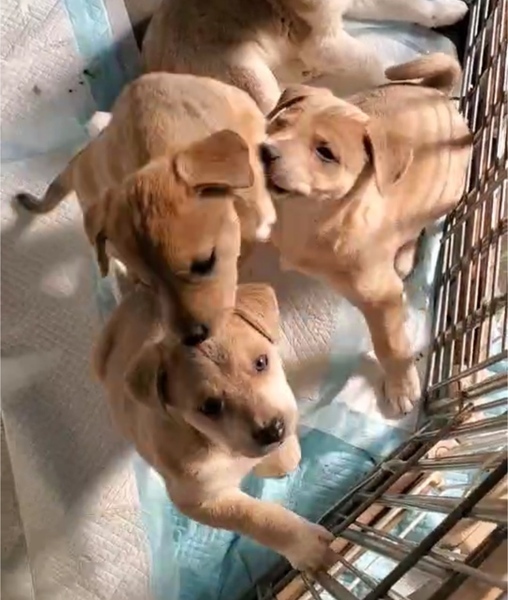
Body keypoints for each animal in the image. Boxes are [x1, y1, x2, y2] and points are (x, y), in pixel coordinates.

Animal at [93, 283, 336, 571]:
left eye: (261, 362)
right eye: (210, 407)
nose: (272, 430)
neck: (215, 443)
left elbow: (285, 458)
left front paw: (276, 459)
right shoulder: (199, 499)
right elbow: (256, 517)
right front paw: (306, 546)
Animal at [142, 0, 468, 113]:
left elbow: (410, 4)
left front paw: (450, 10)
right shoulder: (323, 44)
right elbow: (375, 61)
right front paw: (419, 78)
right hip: (247, 74)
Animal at [261, 53, 472, 417]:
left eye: (325, 153)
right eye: (280, 124)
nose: (264, 151)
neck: (308, 215)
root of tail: (440, 95)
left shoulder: (382, 299)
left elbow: (391, 344)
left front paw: (401, 387)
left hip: (445, 194)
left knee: (419, 225)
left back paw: (404, 255)